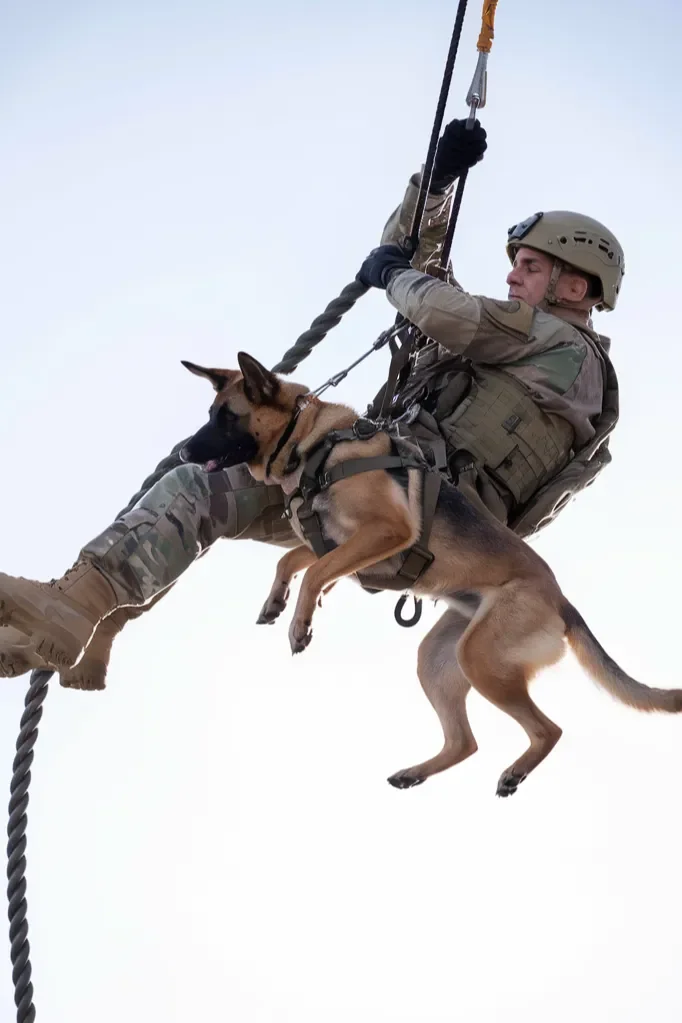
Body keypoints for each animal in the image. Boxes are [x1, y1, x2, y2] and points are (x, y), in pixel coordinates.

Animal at [179, 351, 682, 797]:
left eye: (226, 418)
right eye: (210, 414)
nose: (183, 452)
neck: (316, 443)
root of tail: (563, 603)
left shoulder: (386, 530)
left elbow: (313, 570)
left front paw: (300, 623)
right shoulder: (340, 541)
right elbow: (295, 562)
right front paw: (278, 601)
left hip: (479, 656)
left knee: (549, 729)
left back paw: (514, 772)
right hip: (440, 658)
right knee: (466, 742)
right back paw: (416, 773)